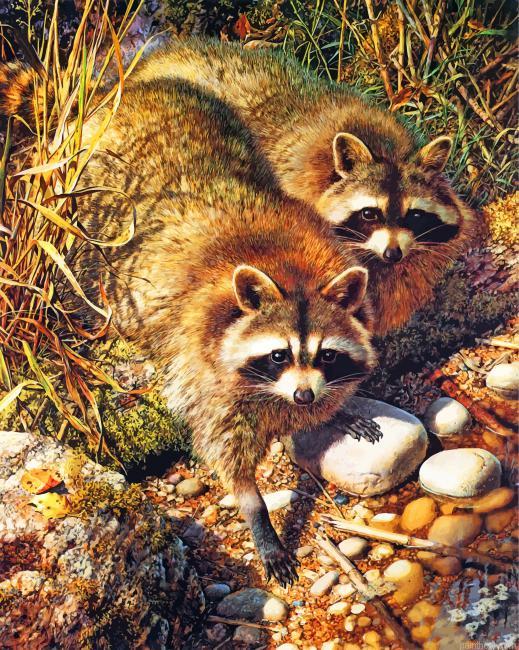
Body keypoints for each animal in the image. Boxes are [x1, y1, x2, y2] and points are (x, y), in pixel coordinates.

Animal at [6, 74, 376, 584]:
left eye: (325, 354)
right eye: (278, 354)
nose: (304, 396)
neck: (293, 273)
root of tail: (111, 93)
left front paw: (331, 410)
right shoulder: (204, 370)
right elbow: (224, 451)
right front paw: (258, 515)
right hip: (81, 218)